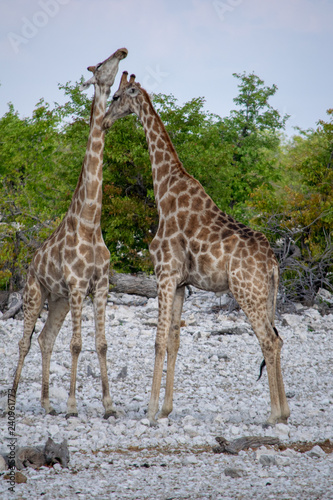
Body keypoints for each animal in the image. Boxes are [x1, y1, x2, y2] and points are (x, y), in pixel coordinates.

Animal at [11, 47, 127, 418]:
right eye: (101, 64)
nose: (123, 51)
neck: (91, 221)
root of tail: (30, 262)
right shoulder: (78, 285)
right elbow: (77, 345)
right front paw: (74, 405)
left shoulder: (101, 285)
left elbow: (101, 343)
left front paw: (109, 406)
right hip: (35, 292)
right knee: (25, 340)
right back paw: (14, 401)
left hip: (58, 299)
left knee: (45, 338)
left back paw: (48, 403)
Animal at [102, 72, 290, 428]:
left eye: (117, 97)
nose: (104, 122)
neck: (164, 191)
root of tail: (273, 263)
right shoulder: (179, 283)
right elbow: (174, 341)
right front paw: (165, 409)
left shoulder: (163, 275)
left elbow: (158, 340)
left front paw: (150, 411)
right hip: (264, 293)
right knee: (277, 337)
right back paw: (283, 411)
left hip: (247, 291)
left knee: (269, 340)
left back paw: (275, 415)